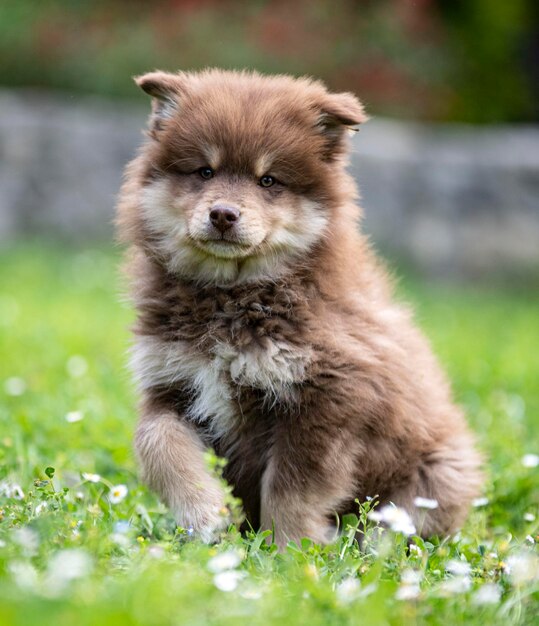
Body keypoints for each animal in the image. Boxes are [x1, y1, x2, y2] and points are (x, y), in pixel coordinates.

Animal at [116, 69, 484, 544]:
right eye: (204, 171)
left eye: (268, 180)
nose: (222, 214)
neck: (233, 296)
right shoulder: (169, 382)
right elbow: (157, 443)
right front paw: (206, 514)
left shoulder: (330, 399)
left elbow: (291, 487)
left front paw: (290, 549)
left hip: (436, 475)